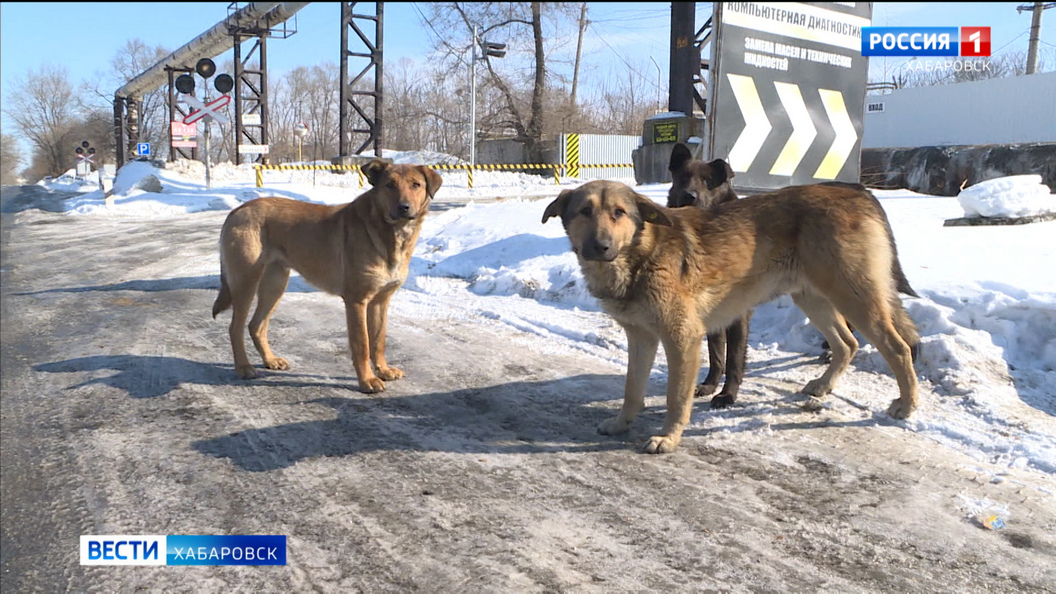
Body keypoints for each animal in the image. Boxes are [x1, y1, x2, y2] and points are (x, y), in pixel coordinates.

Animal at [210, 157, 441, 391]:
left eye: (416, 185)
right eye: (389, 185)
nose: (404, 207)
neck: (391, 235)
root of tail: (238, 210)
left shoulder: (380, 301)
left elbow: (378, 341)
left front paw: (383, 370)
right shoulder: (356, 301)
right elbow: (362, 344)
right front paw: (367, 380)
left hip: (275, 285)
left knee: (256, 326)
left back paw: (270, 360)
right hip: (245, 283)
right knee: (235, 328)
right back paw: (243, 367)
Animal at [549, 177, 920, 450]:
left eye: (619, 212)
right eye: (584, 211)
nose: (600, 246)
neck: (640, 255)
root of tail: (858, 192)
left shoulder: (682, 338)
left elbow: (675, 397)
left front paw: (668, 437)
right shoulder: (640, 338)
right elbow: (631, 389)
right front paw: (622, 423)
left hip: (854, 298)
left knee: (897, 347)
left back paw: (906, 404)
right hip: (814, 298)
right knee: (847, 343)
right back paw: (823, 385)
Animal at [663, 142, 747, 405]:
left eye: (708, 181)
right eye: (683, 176)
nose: (689, 196)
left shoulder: (739, 312)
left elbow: (734, 357)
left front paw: (728, 394)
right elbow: (716, 352)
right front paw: (710, 385)